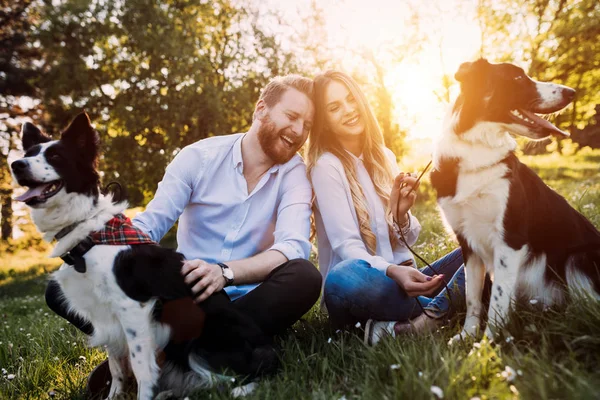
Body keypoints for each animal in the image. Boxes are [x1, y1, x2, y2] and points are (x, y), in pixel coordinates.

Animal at [11, 112, 276, 400]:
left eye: (56, 156)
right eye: (30, 154)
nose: (16, 165)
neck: (89, 233)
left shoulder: (133, 310)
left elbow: (141, 368)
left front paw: (144, 395)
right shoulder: (106, 317)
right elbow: (117, 368)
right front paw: (114, 396)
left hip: (202, 340)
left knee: (245, 376)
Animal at [432, 58, 600, 340]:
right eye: (518, 78)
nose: (571, 92)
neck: (477, 154)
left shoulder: (510, 239)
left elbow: (498, 300)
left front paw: (488, 344)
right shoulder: (468, 243)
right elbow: (472, 298)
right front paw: (468, 337)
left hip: (578, 258)